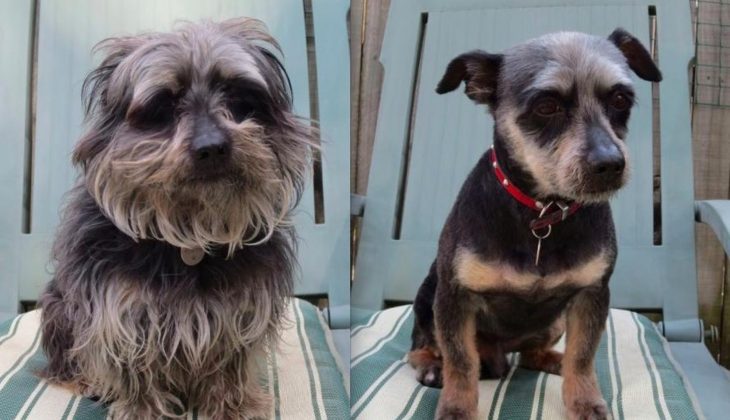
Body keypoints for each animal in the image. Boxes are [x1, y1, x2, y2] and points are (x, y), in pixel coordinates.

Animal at [37, 18, 310, 418]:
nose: (212, 147)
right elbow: (134, 368)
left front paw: (233, 406)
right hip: (59, 308)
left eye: (238, 97)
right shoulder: (119, 310)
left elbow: (229, 361)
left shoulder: (241, 308)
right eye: (163, 104)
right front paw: (142, 409)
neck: (190, 233)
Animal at [410, 29, 660, 420]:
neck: (543, 212)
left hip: (552, 322)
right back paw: (430, 365)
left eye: (620, 99)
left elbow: (582, 355)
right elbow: (460, 362)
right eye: (546, 106)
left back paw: (553, 359)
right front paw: (456, 409)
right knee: (421, 346)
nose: (610, 164)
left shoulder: (592, 294)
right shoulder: (453, 297)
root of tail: (499, 354)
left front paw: (584, 401)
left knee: (531, 355)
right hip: (426, 298)